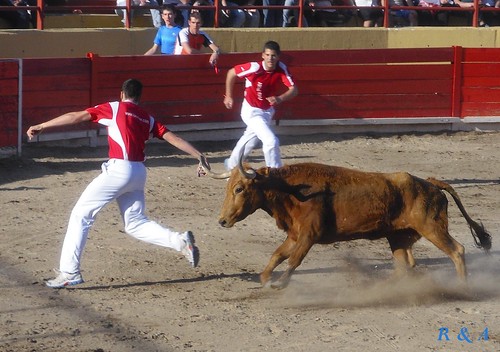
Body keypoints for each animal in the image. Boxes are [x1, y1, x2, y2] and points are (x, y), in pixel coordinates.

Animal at [201, 160, 490, 288]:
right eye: (228, 187)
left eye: (239, 188)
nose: (222, 220)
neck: (289, 190)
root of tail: (431, 184)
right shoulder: (295, 235)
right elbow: (277, 255)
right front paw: (264, 278)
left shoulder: (309, 235)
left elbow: (294, 260)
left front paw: (279, 283)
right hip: (399, 236)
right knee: (405, 264)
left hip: (432, 228)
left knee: (457, 251)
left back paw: (462, 285)